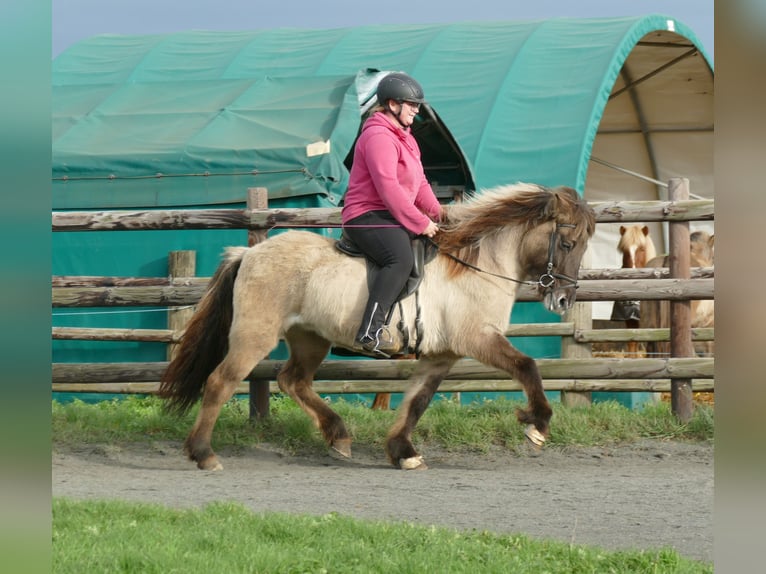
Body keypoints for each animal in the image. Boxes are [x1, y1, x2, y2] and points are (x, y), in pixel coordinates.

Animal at [158, 184, 600, 472]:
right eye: (567, 243)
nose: (564, 300)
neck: (475, 265)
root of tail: (248, 253)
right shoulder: (478, 338)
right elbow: (527, 366)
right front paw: (537, 425)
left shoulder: (441, 356)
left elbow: (417, 401)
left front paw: (403, 451)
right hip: (255, 335)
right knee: (221, 382)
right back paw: (203, 454)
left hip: (310, 339)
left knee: (293, 380)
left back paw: (338, 435)